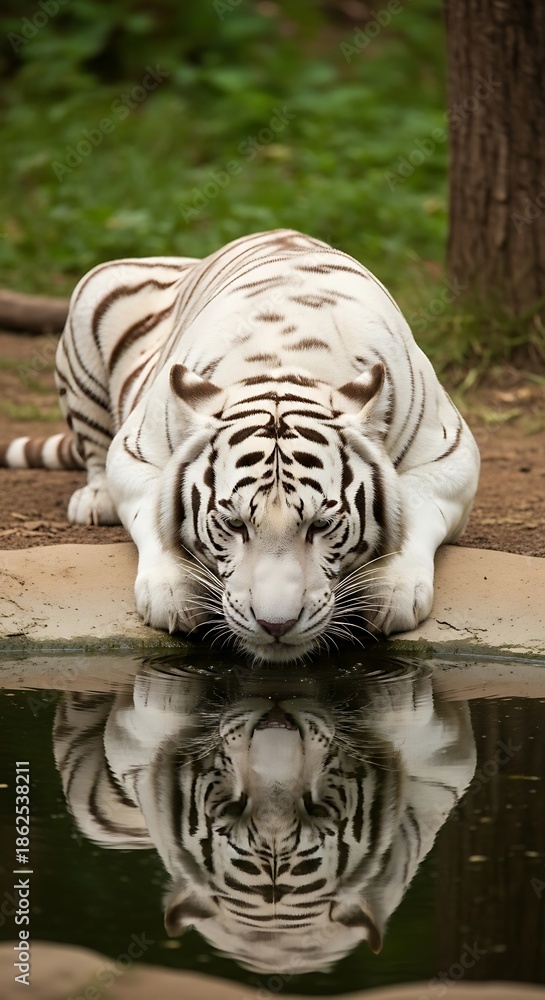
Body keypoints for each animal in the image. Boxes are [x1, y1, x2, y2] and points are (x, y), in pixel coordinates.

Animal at [1, 230, 480, 661]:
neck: (288, 363)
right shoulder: (136, 452)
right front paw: (172, 590)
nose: (276, 626)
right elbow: (153, 512)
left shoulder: (450, 457)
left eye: (321, 526)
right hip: (90, 300)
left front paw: (394, 590)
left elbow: (414, 507)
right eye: (233, 525)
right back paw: (94, 501)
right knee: (93, 449)